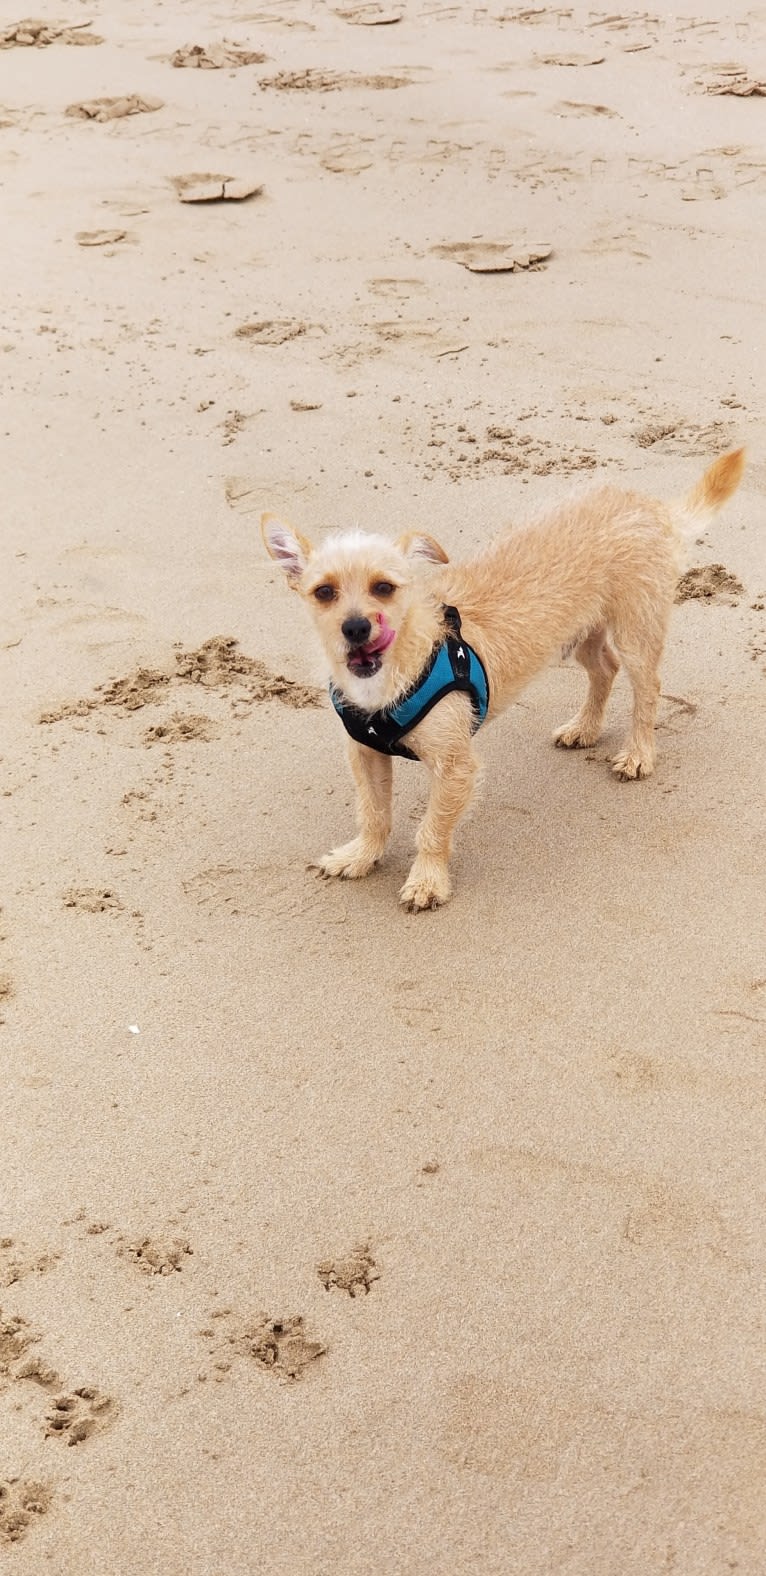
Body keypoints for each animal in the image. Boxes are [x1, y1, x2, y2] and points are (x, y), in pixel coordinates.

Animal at [261, 447, 740, 914]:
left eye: (384, 587)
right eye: (324, 592)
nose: (356, 627)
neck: (394, 673)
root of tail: (649, 506)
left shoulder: (455, 767)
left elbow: (432, 828)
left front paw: (427, 881)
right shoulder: (365, 754)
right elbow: (373, 814)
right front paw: (361, 856)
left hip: (635, 632)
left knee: (647, 688)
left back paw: (638, 754)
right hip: (579, 634)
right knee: (604, 668)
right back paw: (584, 728)